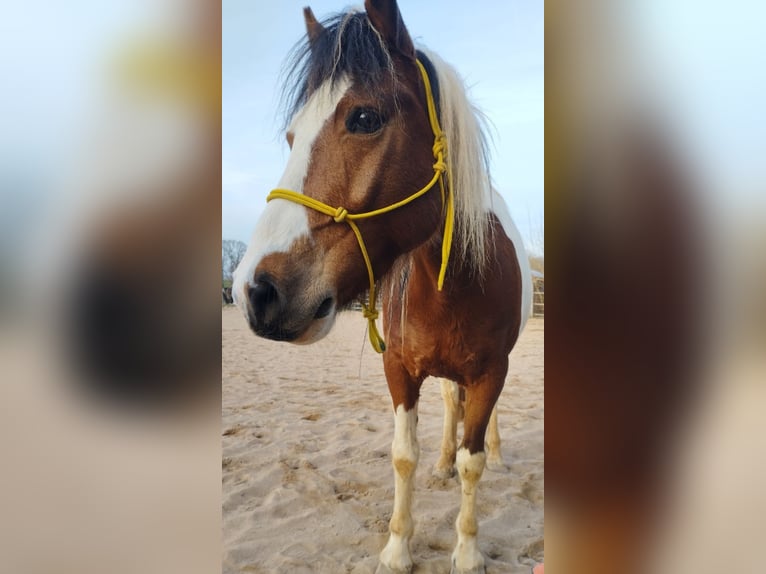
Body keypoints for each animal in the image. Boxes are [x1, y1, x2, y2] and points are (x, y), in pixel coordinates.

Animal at [232, 1, 531, 572]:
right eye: (291, 136)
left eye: (365, 118)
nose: (255, 291)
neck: (450, 286)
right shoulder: (399, 368)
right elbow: (403, 456)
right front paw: (397, 548)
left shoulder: (491, 371)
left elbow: (475, 461)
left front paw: (467, 551)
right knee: (450, 408)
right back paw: (442, 462)